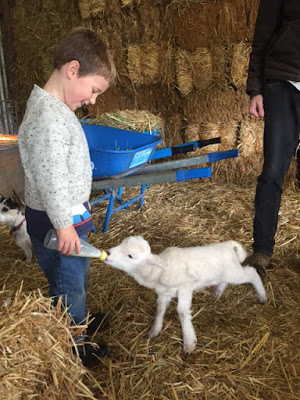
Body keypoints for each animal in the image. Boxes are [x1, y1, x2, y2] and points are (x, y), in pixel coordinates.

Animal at [105, 236, 268, 354]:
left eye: (130, 256)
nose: (107, 253)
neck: (162, 268)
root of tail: (229, 245)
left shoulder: (186, 287)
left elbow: (182, 312)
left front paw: (189, 342)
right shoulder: (164, 293)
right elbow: (160, 309)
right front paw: (155, 330)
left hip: (234, 272)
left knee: (252, 273)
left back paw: (262, 296)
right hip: (226, 272)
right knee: (225, 280)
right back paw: (217, 292)